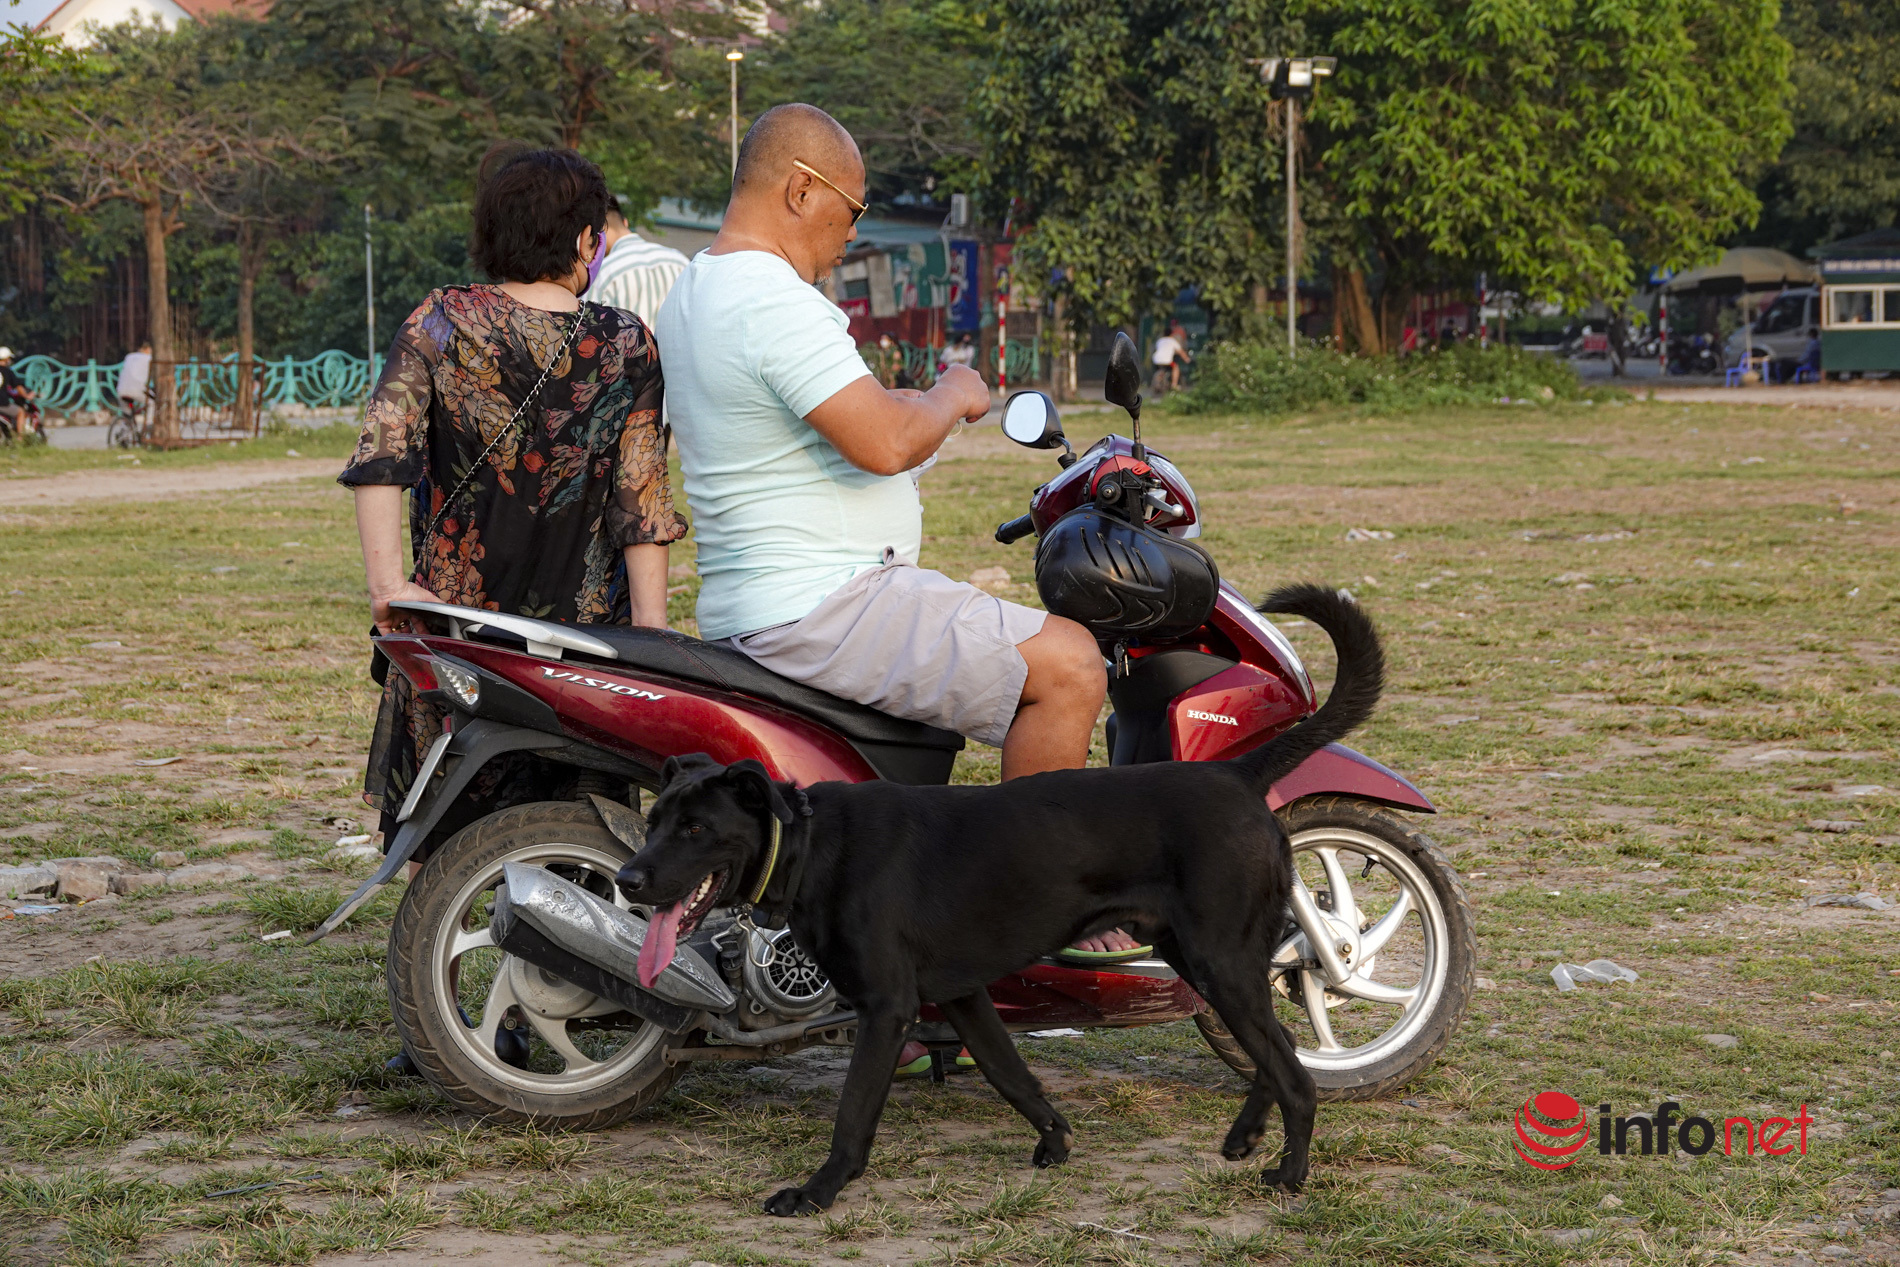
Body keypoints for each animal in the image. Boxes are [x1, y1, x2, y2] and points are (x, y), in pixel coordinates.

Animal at [623, 585, 1383, 1215]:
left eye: (696, 829)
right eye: (655, 818)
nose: (628, 880)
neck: (811, 844)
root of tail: (1237, 773)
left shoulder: (887, 1008)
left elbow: (854, 1112)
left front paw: (817, 1190)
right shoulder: (962, 995)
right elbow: (1011, 1074)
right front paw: (1056, 1141)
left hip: (1217, 959)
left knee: (1295, 1072)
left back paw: (1290, 1174)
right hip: (1204, 958)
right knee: (1279, 1048)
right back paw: (1248, 1135)